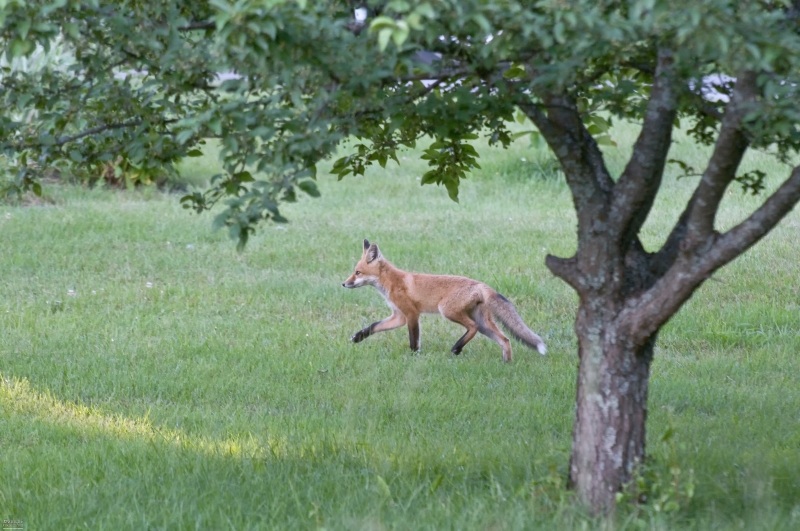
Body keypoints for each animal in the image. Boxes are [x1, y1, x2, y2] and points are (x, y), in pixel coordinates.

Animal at [342, 239, 547, 362]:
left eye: (357, 272)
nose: (344, 283)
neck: (391, 282)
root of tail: (481, 284)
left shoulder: (411, 314)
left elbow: (414, 340)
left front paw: (413, 357)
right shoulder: (398, 316)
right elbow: (374, 326)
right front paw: (357, 337)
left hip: (447, 310)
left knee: (473, 327)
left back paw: (456, 348)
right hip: (484, 323)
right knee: (505, 339)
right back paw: (506, 363)